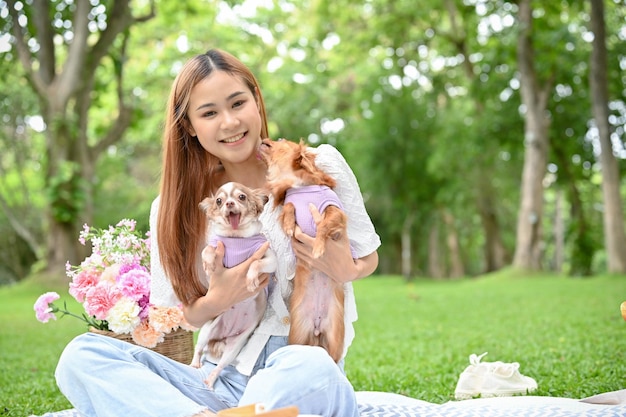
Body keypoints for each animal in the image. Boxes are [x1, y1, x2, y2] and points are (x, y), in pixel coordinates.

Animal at [190, 180, 276, 388]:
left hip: (234, 348)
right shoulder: (215, 244)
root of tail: (221, 338)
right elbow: (207, 250)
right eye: (219, 201)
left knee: (220, 365)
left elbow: (255, 263)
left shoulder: (270, 259)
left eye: (242, 197)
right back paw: (194, 364)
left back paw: (210, 381)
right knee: (199, 349)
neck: (237, 238)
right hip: (207, 330)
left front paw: (251, 278)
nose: (229, 203)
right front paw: (208, 263)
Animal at [258, 137, 348, 360]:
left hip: (334, 339)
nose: (264, 138)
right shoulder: (290, 202)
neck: (300, 187)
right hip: (298, 335)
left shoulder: (336, 214)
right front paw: (289, 225)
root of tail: (317, 326)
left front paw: (318, 248)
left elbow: (324, 225)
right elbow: (289, 207)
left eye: (280, 140)